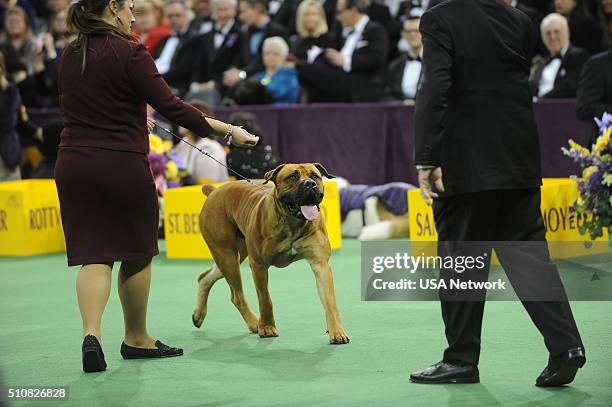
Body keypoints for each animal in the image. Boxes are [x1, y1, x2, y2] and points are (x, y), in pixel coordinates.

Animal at [194, 163, 352, 344]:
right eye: (292, 177)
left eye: (315, 176)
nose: (309, 184)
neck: (292, 223)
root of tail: (215, 191)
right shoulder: (259, 265)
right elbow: (265, 299)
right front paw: (267, 327)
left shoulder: (320, 264)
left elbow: (330, 301)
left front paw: (336, 331)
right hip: (226, 255)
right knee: (237, 296)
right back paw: (255, 323)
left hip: (234, 256)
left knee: (205, 277)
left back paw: (198, 315)